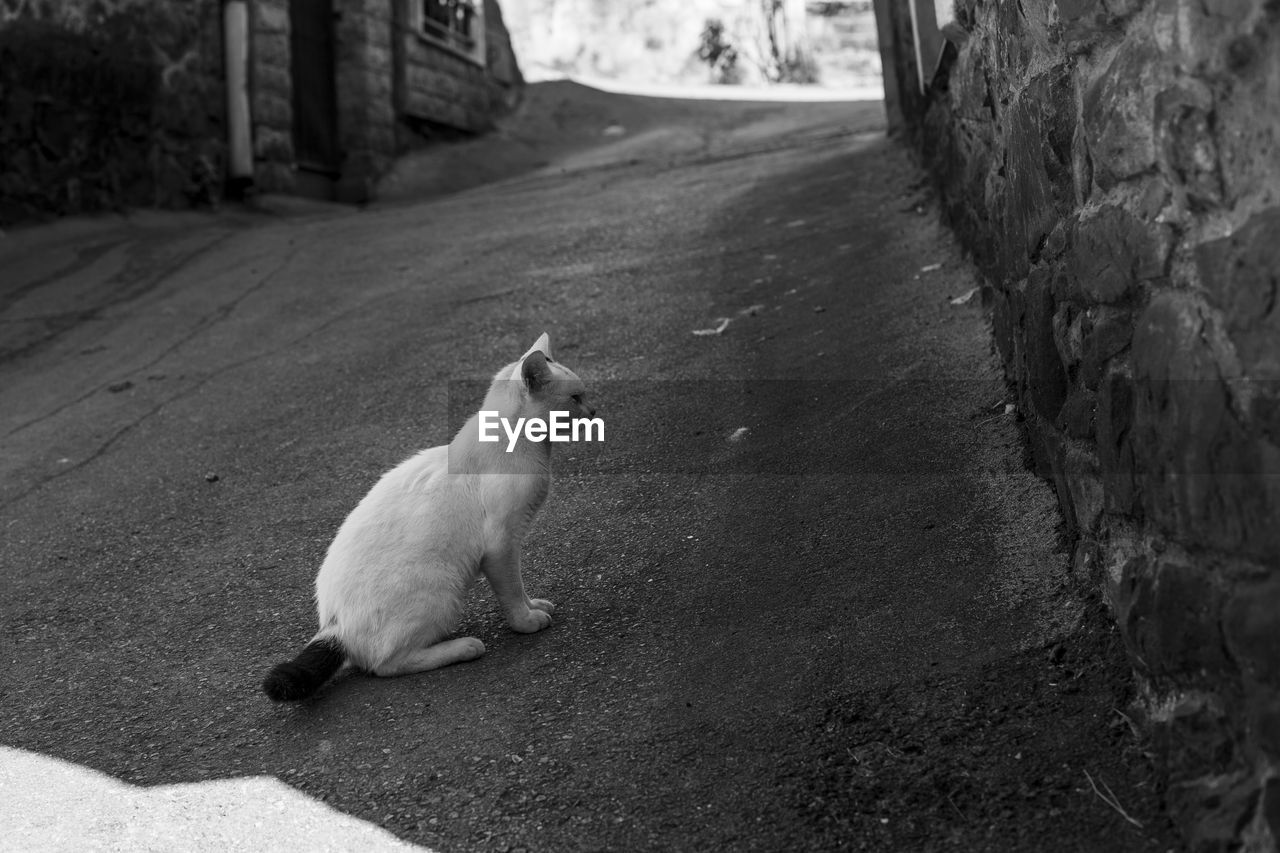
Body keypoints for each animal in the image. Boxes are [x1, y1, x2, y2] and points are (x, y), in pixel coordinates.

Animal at [267, 333, 596, 696]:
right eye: (576, 397)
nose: (594, 410)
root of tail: (334, 626)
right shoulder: (501, 547)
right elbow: (512, 591)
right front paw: (526, 621)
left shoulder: (510, 546)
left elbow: (521, 589)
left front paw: (534, 606)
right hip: (443, 591)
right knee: (386, 664)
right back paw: (465, 647)